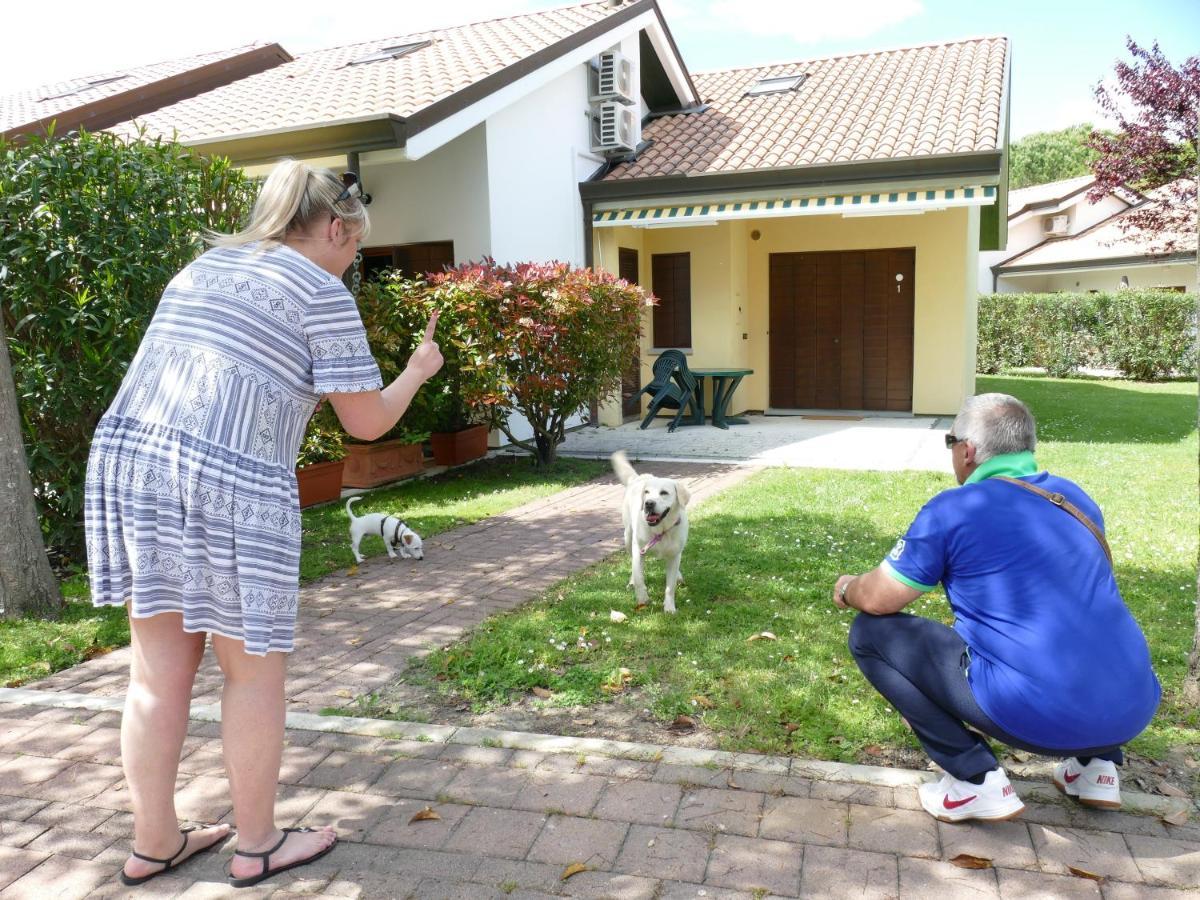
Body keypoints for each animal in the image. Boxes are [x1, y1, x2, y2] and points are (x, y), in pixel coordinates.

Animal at [614, 451, 691, 614]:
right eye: (647, 492)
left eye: (664, 493)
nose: (648, 503)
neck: (661, 530)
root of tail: (639, 477)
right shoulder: (639, 549)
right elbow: (639, 577)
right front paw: (642, 598)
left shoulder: (675, 554)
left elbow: (670, 586)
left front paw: (669, 607)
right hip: (628, 537)